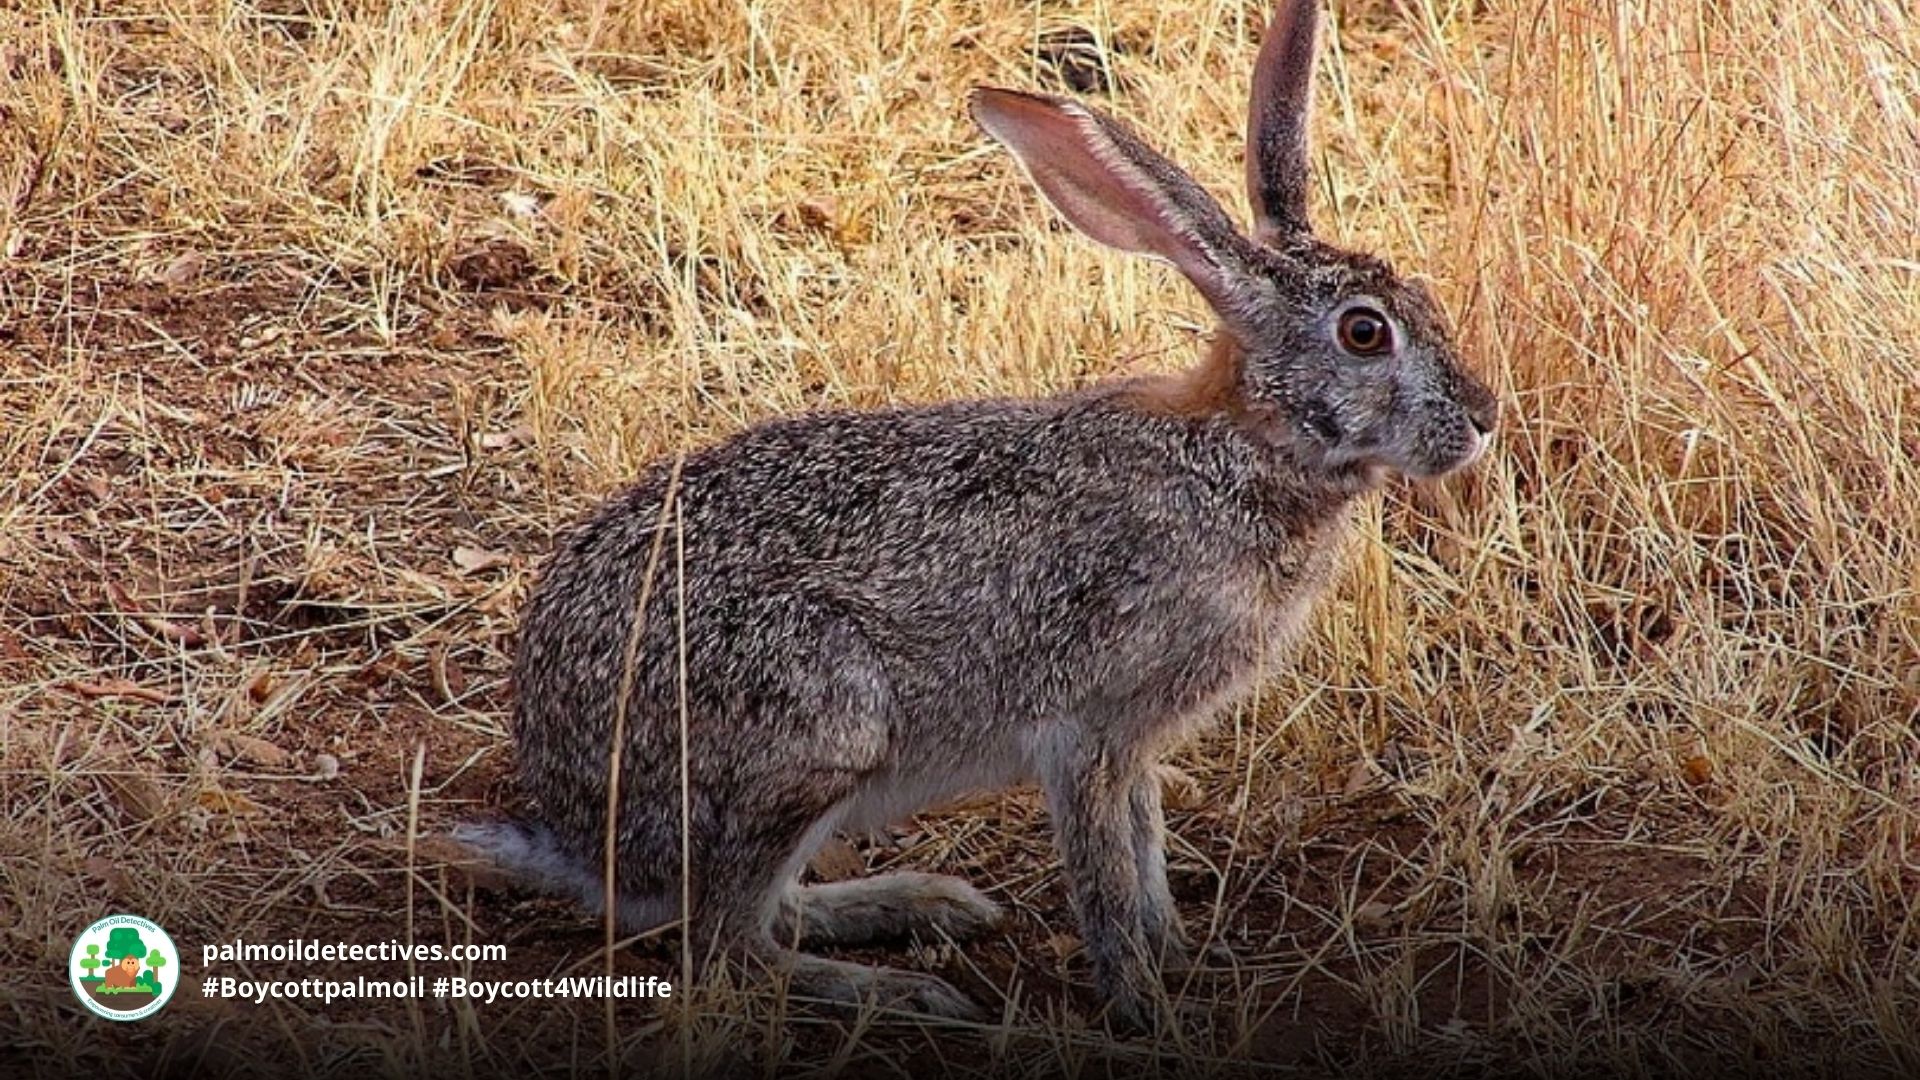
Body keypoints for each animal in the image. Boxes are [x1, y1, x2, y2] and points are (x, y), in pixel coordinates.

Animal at [458, 0, 1496, 1032]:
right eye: (1365, 333)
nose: (1482, 417)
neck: (1245, 447)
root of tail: (580, 832)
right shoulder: (1088, 730)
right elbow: (1106, 875)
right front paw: (1146, 1009)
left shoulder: (1136, 745)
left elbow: (1146, 848)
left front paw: (1181, 956)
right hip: (817, 728)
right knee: (728, 946)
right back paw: (907, 991)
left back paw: (925, 905)